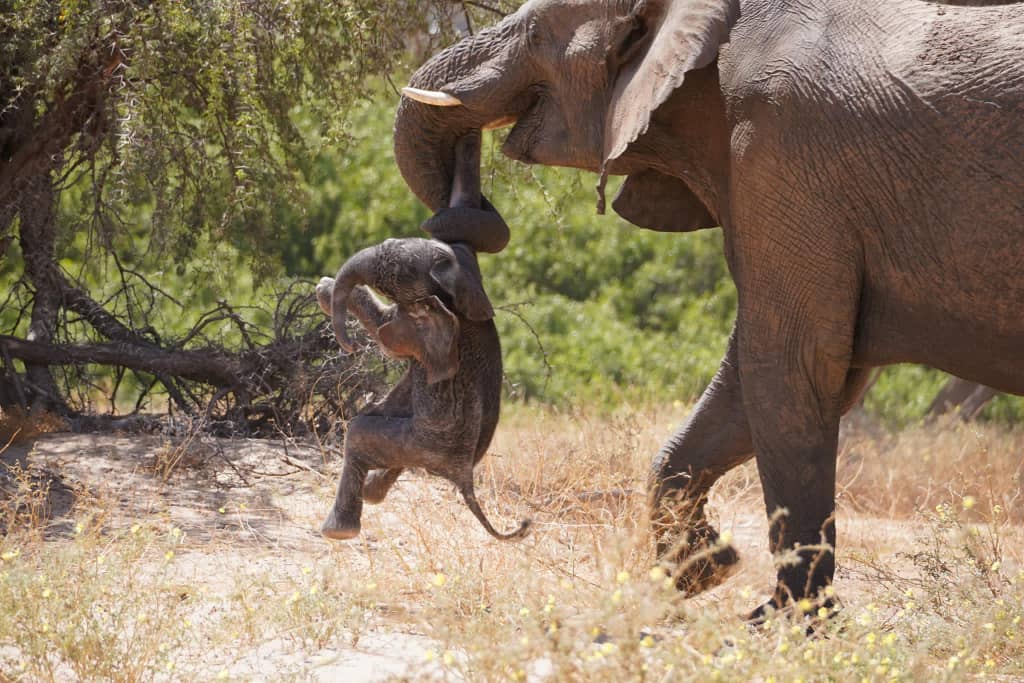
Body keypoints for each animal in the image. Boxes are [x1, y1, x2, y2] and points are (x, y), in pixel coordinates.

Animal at [317, 237, 528, 540]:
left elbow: (385, 333)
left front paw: (324, 287)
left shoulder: (421, 325)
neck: (457, 281)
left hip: (424, 442)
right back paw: (371, 493)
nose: (351, 346)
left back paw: (338, 531)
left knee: (359, 434)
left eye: (395, 269)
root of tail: (464, 476)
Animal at [387, 0, 1019, 614]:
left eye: (538, 35)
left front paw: (786, 623)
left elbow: (788, 367)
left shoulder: (784, 156)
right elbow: (755, 386)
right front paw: (708, 572)